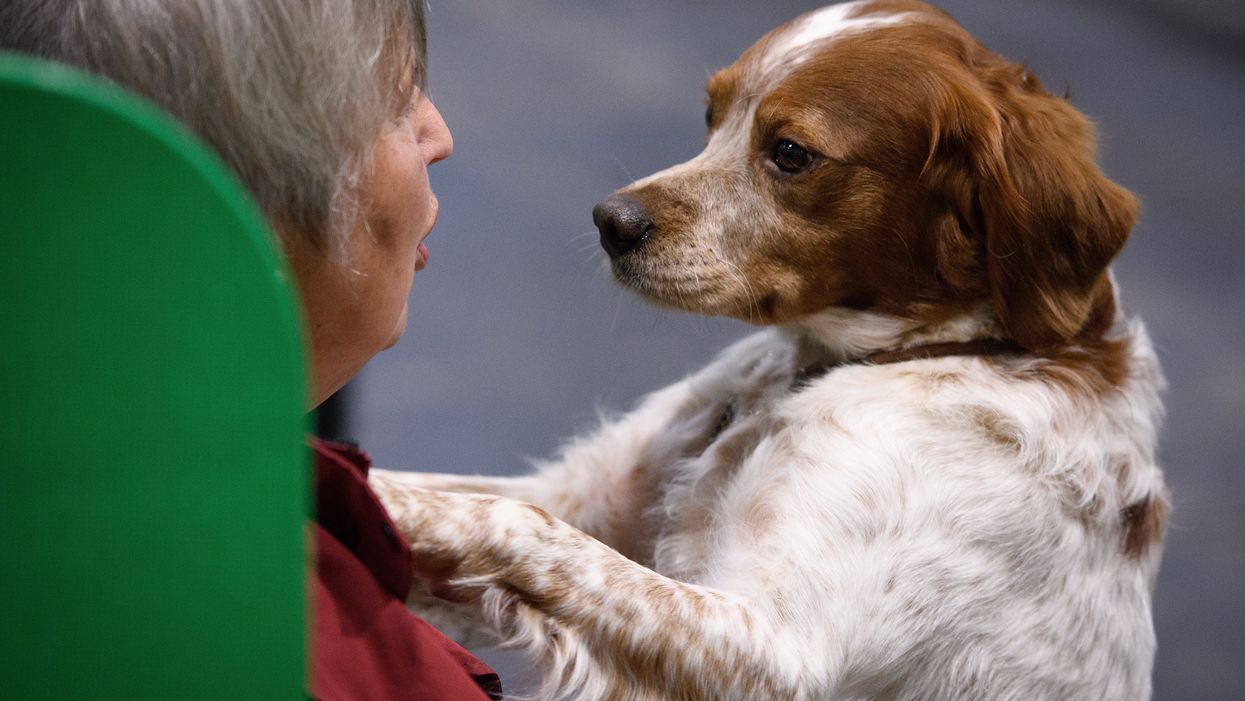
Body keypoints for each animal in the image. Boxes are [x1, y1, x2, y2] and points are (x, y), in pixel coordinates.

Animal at [368, 2, 1165, 697]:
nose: (610, 221)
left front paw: (388, 499)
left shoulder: (771, 649)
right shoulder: (582, 497)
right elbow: (475, 501)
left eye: (789, 152)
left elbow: (509, 521)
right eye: (711, 116)